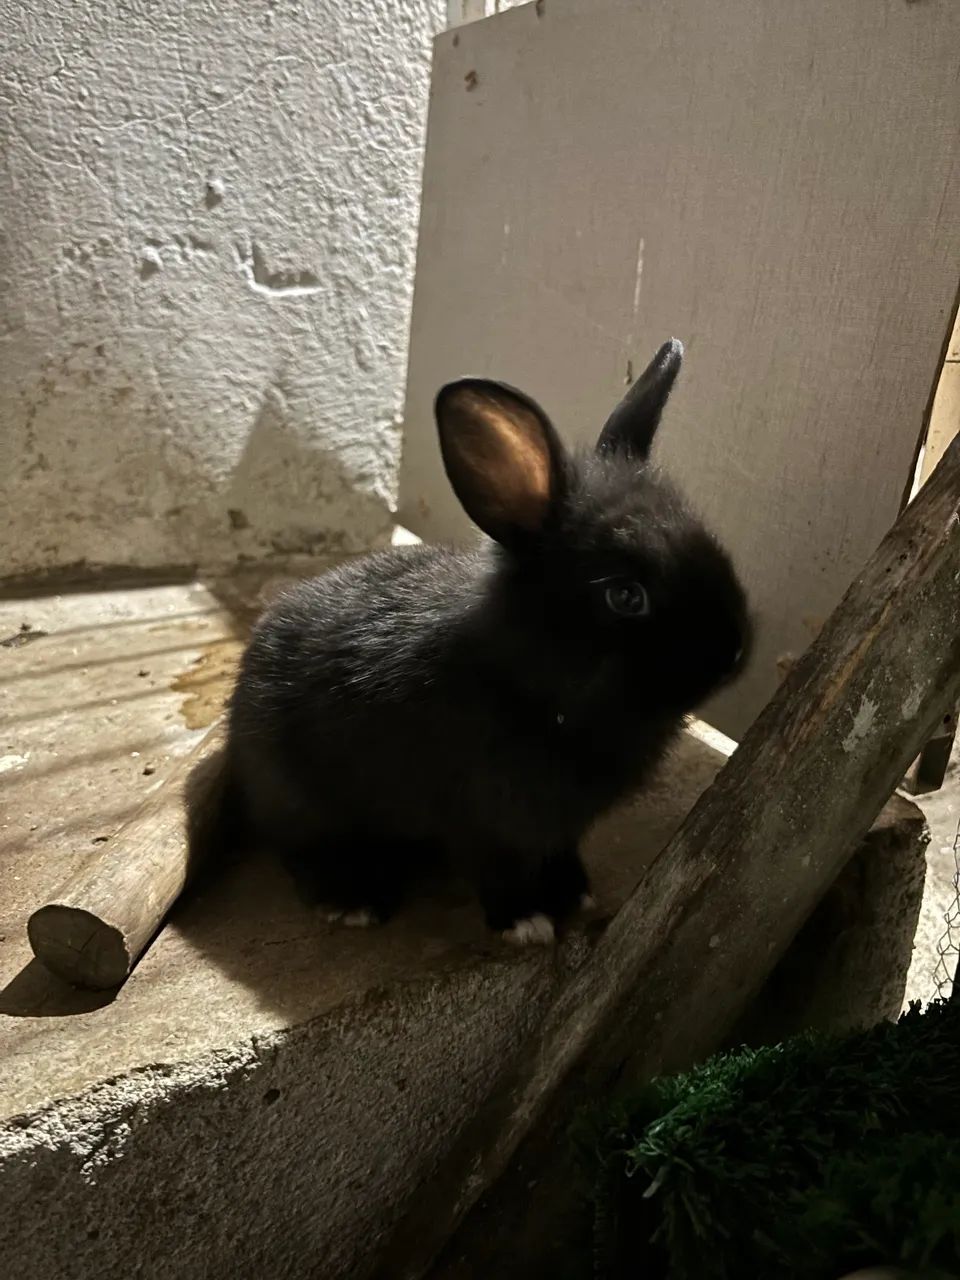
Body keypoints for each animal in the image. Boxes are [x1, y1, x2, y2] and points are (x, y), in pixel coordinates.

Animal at [222, 338, 751, 944]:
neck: (540, 689)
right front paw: (525, 923)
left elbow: (559, 853)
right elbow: (497, 872)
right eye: (625, 596)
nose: (733, 652)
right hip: (300, 802)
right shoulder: (482, 821)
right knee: (301, 854)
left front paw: (574, 894)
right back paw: (353, 901)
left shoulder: (558, 827)